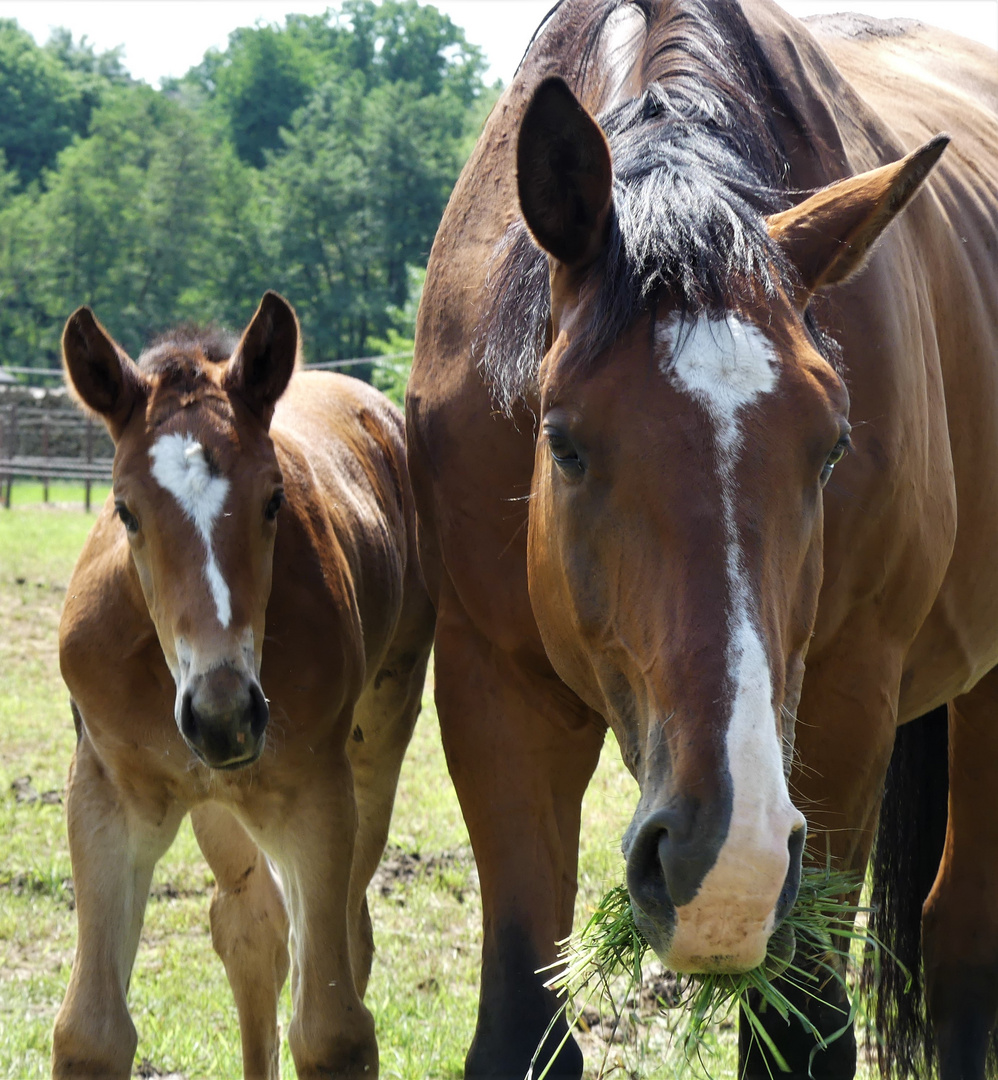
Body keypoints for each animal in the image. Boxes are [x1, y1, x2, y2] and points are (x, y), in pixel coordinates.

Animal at [51, 291, 432, 1075]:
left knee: (342, 933)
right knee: (250, 928)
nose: (222, 716)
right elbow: (91, 1033)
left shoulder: (315, 795)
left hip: (375, 745)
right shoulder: (106, 794)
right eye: (125, 510)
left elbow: (332, 1031)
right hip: (222, 805)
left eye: (274, 499)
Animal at [406, 0, 998, 1075]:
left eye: (833, 446)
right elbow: (520, 1028)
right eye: (564, 443)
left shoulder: (850, 696)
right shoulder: (490, 682)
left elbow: (803, 1031)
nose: (721, 862)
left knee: (965, 940)